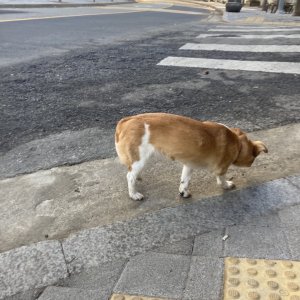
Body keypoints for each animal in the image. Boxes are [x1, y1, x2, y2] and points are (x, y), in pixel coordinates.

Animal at [114, 113, 268, 200]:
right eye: (253, 159)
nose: (251, 164)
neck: (237, 142)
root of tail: (126, 121)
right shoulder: (221, 168)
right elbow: (221, 180)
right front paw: (227, 185)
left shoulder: (189, 165)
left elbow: (184, 181)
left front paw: (184, 192)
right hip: (141, 158)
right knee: (129, 176)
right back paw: (134, 194)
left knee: (132, 172)